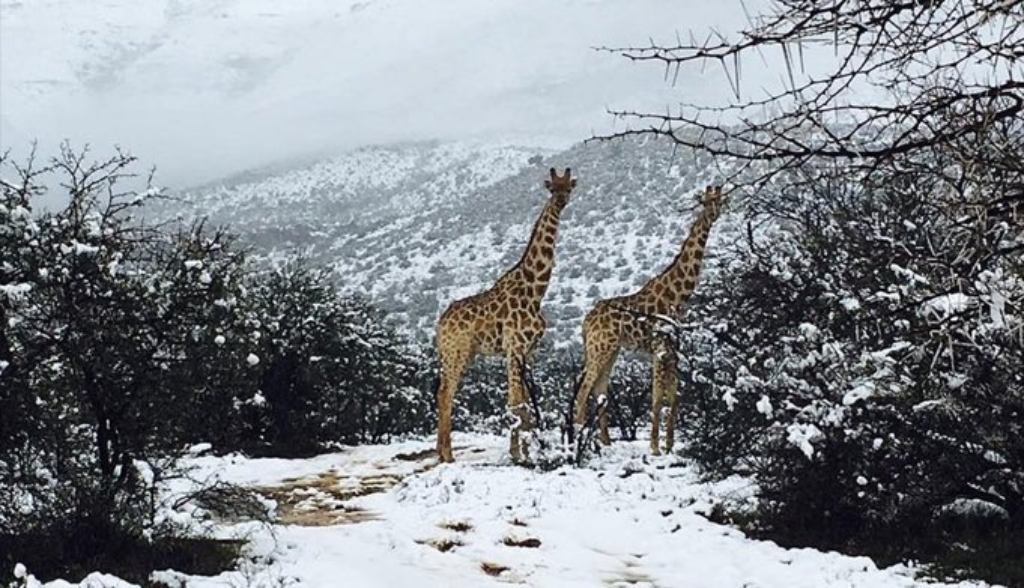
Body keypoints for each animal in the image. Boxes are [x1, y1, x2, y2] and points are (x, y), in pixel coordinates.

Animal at [432, 166, 577, 465]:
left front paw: (528, 453)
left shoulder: (529, 350)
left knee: (443, 392)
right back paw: (447, 455)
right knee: (445, 393)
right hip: (456, 352)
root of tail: (440, 324)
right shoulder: (514, 347)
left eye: (569, 187)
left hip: (461, 354)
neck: (536, 291)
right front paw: (518, 454)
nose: (560, 202)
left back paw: (441, 451)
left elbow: (525, 403)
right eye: (552, 188)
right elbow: (515, 402)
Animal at [573, 184, 724, 456]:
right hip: (600, 348)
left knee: (600, 390)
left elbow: (674, 397)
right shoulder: (659, 347)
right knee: (583, 390)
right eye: (706, 201)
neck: (677, 295)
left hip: (610, 350)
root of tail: (586, 322)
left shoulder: (673, 350)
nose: (714, 213)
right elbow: (656, 398)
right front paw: (654, 447)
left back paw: (606, 442)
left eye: (720, 199)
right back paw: (580, 441)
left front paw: (670, 445)